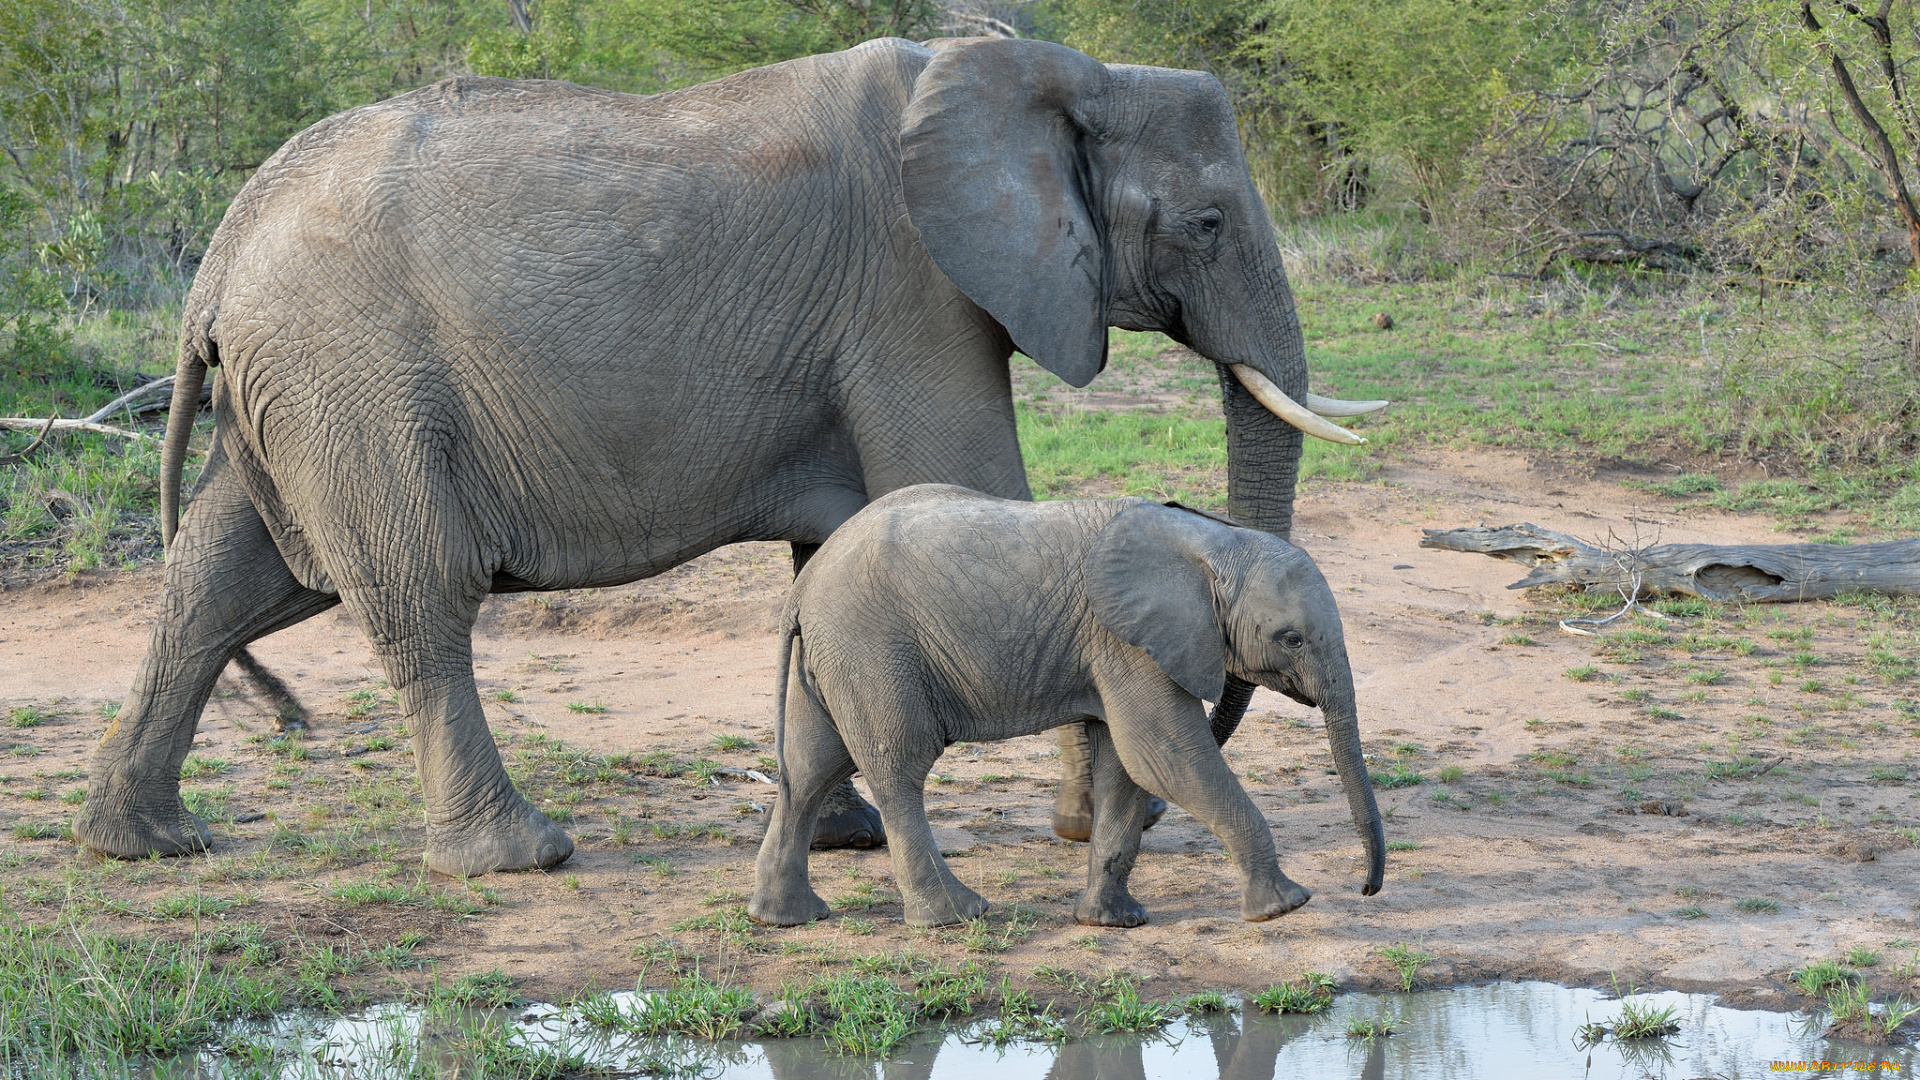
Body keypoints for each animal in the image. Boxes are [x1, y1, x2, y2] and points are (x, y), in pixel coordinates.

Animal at [74, 35, 1374, 876]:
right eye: (1205, 224)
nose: (1131, 818)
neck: (1047, 68)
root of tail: (222, 248)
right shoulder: (910, 291)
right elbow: (977, 492)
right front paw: (1093, 828)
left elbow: (838, 550)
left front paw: (845, 836)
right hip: (355, 376)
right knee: (418, 596)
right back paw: (516, 856)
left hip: (299, 386)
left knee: (224, 578)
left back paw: (145, 843)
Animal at [741, 480, 1390, 926]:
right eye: (1292, 638)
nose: (1366, 890)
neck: (1210, 539)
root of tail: (803, 587)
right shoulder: (1126, 641)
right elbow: (1165, 757)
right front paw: (1286, 906)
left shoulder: (1119, 648)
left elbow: (1129, 768)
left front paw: (1112, 923)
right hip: (872, 649)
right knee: (898, 766)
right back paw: (957, 916)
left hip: (837, 656)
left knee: (810, 769)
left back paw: (787, 917)